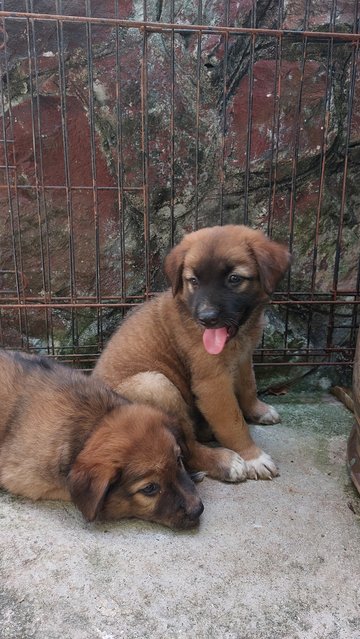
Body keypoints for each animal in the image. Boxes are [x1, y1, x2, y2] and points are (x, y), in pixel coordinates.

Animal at [94, 225, 292, 480]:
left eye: (234, 279)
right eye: (193, 281)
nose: (206, 319)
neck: (239, 334)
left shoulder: (243, 359)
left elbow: (249, 387)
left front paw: (258, 410)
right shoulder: (212, 383)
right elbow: (233, 422)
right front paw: (252, 457)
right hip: (155, 385)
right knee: (187, 449)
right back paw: (224, 461)